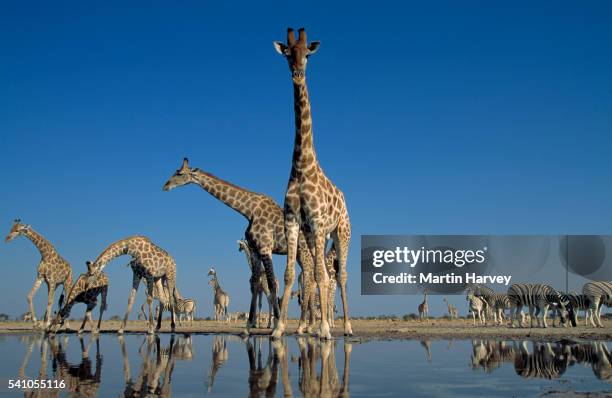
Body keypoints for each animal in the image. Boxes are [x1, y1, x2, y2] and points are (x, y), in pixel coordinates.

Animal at [164, 157, 326, 334]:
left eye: (179, 173)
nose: (165, 186)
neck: (248, 211)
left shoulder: (265, 247)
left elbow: (271, 285)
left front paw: (276, 324)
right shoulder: (255, 249)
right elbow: (255, 284)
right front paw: (248, 327)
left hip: (304, 252)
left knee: (309, 279)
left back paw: (305, 326)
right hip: (300, 254)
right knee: (310, 279)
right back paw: (307, 325)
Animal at [274, 27, 354, 338]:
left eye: (307, 54)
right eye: (287, 54)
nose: (297, 74)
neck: (301, 165)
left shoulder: (319, 223)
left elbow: (321, 274)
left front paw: (324, 330)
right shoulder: (294, 221)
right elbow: (289, 274)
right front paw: (278, 329)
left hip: (341, 233)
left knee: (340, 275)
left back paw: (347, 327)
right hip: (315, 234)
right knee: (324, 271)